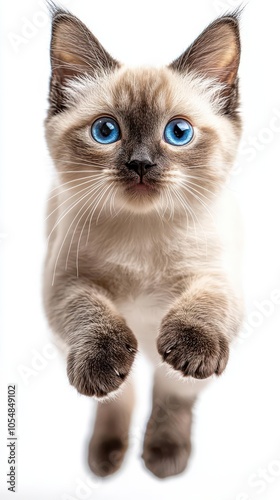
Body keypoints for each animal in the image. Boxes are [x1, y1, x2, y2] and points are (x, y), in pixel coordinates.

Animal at [43, 5, 243, 478]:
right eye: (105, 131)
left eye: (178, 133)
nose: (140, 164)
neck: (142, 230)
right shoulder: (65, 283)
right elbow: (92, 314)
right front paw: (101, 366)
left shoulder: (217, 275)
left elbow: (204, 307)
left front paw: (192, 350)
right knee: (123, 392)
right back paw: (106, 456)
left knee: (172, 391)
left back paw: (164, 456)